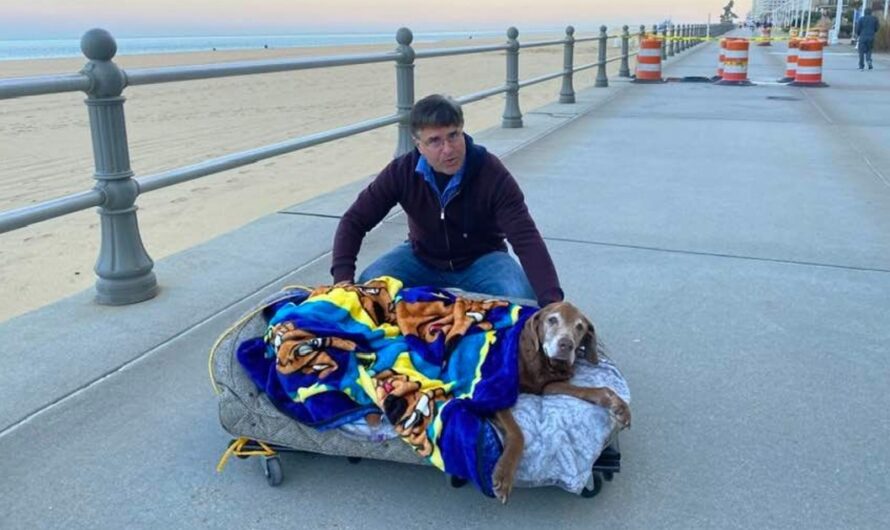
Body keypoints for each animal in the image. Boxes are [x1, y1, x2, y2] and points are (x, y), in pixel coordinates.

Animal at [490, 302, 628, 500]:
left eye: (580, 327)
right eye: (552, 320)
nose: (566, 344)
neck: (543, 364)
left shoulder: (549, 386)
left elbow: (595, 390)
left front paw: (618, 405)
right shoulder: (495, 391)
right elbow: (517, 432)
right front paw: (504, 474)